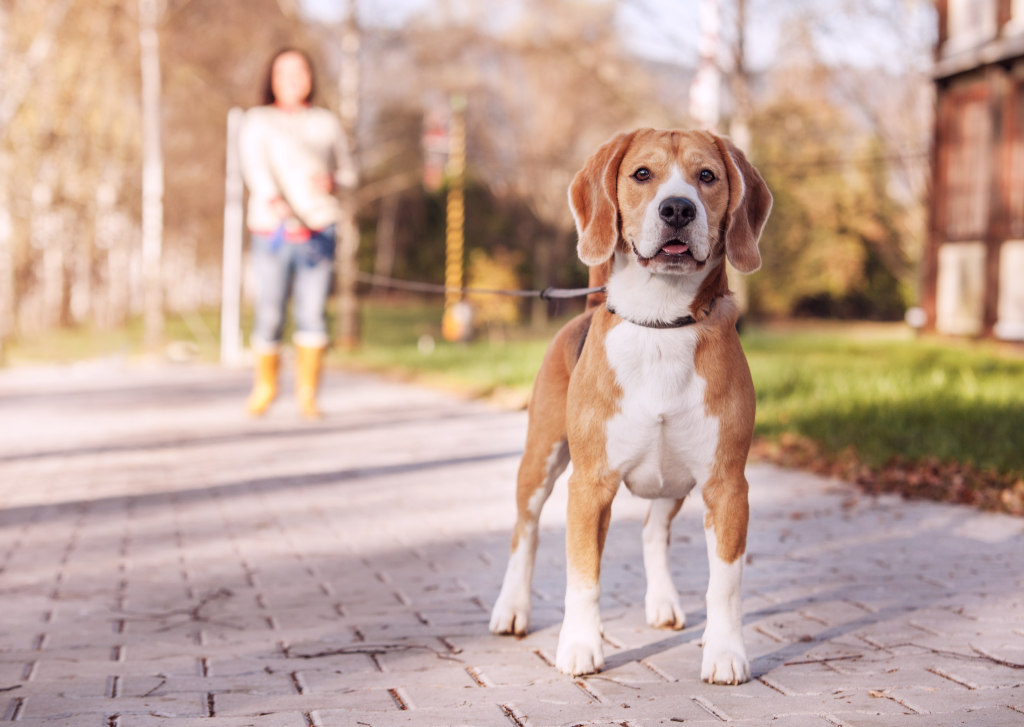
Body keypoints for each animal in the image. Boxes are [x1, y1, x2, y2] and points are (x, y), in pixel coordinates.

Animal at [491, 127, 770, 688]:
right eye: (642, 173)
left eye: (707, 176)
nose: (678, 208)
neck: (661, 323)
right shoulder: (589, 486)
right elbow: (583, 575)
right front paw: (580, 646)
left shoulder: (727, 486)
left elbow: (725, 583)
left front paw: (725, 652)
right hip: (541, 460)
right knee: (524, 533)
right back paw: (512, 608)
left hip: (674, 480)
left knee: (652, 531)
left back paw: (662, 603)